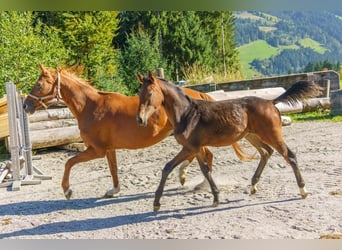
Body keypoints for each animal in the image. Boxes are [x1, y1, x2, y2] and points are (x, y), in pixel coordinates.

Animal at [22, 64, 246, 199]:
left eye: (39, 84)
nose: (25, 105)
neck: (90, 106)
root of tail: (198, 94)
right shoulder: (108, 149)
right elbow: (113, 169)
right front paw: (113, 190)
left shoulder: (96, 150)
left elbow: (69, 162)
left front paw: (67, 190)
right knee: (201, 155)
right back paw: (189, 178)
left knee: (204, 155)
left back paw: (195, 181)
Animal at [137, 71, 324, 212]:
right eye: (139, 95)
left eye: (150, 93)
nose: (140, 119)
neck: (186, 113)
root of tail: (271, 102)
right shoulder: (196, 148)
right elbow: (205, 170)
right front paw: (216, 197)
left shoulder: (190, 148)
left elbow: (167, 167)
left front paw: (156, 203)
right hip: (251, 135)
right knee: (266, 152)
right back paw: (253, 186)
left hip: (272, 134)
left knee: (289, 155)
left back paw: (303, 190)